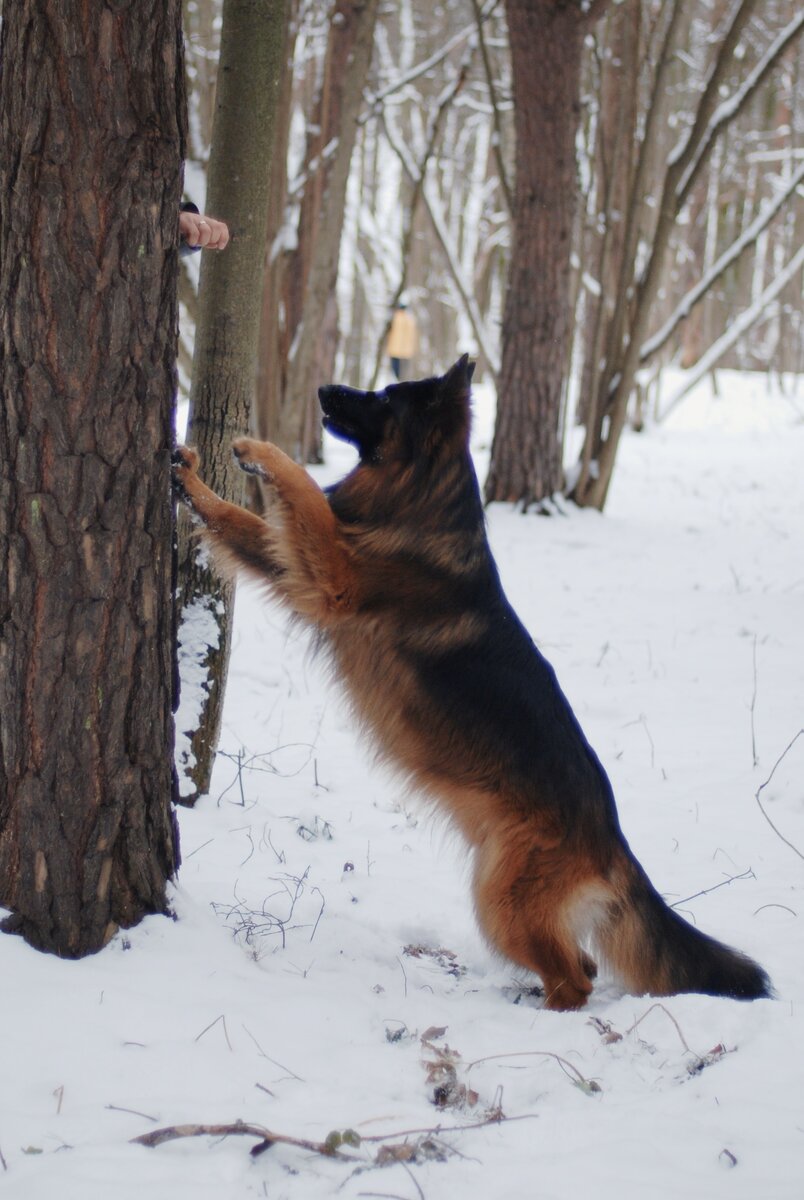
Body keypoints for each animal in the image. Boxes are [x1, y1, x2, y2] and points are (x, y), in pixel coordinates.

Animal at [172, 355, 772, 1012]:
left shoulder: (333, 573)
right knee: (583, 962)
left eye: (384, 395)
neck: (420, 499)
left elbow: (302, 485)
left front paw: (258, 450)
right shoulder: (295, 564)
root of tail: (615, 841)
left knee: (578, 978)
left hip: (501, 899)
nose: (326, 388)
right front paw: (191, 479)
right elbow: (237, 518)